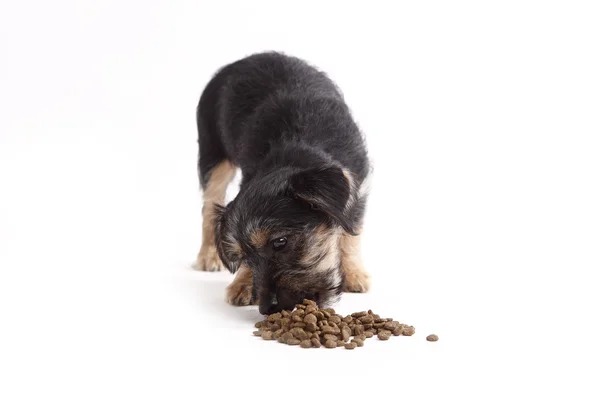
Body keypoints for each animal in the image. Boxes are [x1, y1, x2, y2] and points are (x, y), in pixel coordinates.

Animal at [192, 51, 370, 314]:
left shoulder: (358, 183)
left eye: (280, 242)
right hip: (212, 154)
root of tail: (249, 58)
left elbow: (352, 232)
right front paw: (242, 283)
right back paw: (207, 255)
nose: (268, 308)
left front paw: (354, 273)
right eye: (243, 256)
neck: (296, 145)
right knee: (209, 206)